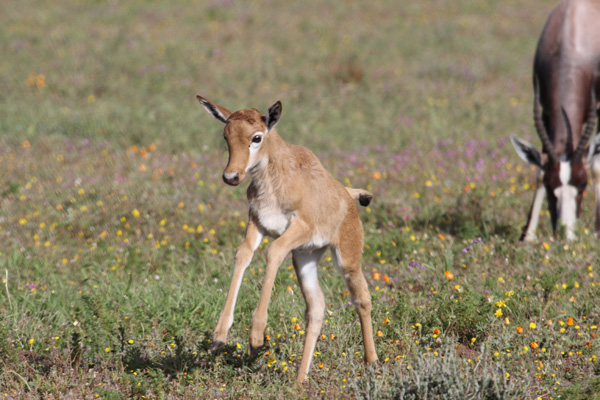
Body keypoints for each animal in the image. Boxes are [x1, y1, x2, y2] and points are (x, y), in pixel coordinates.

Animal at [196, 95, 376, 382]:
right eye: (225, 135)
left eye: (256, 137)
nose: (231, 176)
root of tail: (348, 195)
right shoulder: (257, 224)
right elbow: (243, 254)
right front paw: (219, 336)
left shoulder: (298, 228)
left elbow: (272, 251)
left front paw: (256, 338)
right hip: (305, 258)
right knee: (316, 308)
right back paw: (300, 380)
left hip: (347, 260)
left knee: (362, 299)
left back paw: (372, 363)